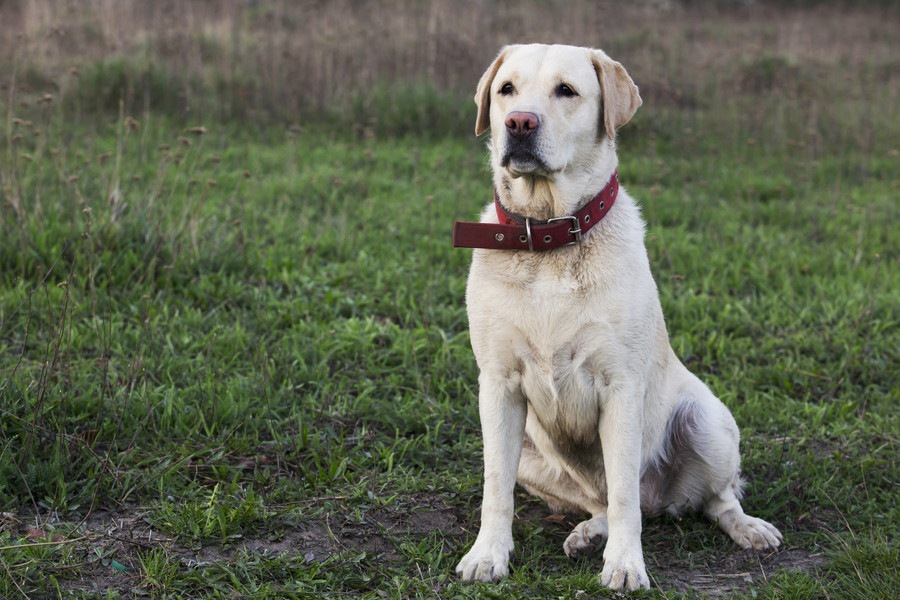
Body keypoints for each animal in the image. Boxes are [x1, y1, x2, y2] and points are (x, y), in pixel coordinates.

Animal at [454, 44, 776, 592]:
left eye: (566, 90)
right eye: (506, 90)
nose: (519, 123)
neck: (549, 238)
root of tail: (662, 501)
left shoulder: (620, 385)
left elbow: (625, 491)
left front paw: (625, 565)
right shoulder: (497, 385)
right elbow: (495, 486)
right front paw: (487, 555)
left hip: (707, 421)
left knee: (714, 499)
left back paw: (747, 528)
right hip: (534, 457)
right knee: (598, 501)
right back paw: (588, 533)